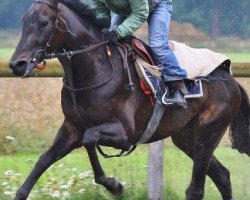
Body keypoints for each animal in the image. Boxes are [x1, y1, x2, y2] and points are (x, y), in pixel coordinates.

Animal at [8, 0, 249, 200]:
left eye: (44, 22)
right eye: (23, 20)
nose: (17, 64)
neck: (98, 68)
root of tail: (231, 79)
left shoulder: (126, 133)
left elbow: (89, 138)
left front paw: (114, 185)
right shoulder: (71, 128)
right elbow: (43, 161)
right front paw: (113, 184)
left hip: (209, 132)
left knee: (196, 189)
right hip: (186, 137)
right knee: (222, 175)